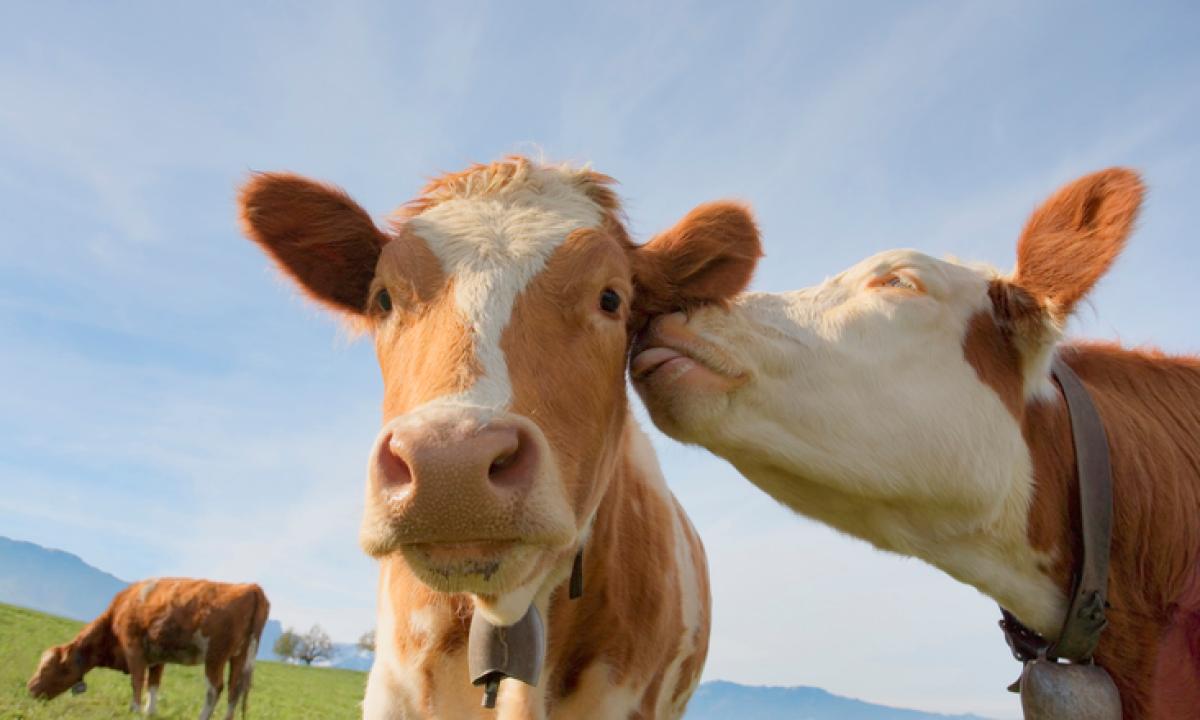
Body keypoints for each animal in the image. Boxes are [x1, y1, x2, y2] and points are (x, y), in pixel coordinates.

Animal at [27, 578, 269, 720]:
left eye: (48, 668)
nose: (30, 688)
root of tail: (251, 587)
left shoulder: (133, 648)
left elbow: (137, 680)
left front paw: (134, 710)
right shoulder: (157, 656)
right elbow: (153, 683)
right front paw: (149, 711)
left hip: (215, 656)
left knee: (215, 689)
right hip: (239, 657)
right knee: (234, 690)